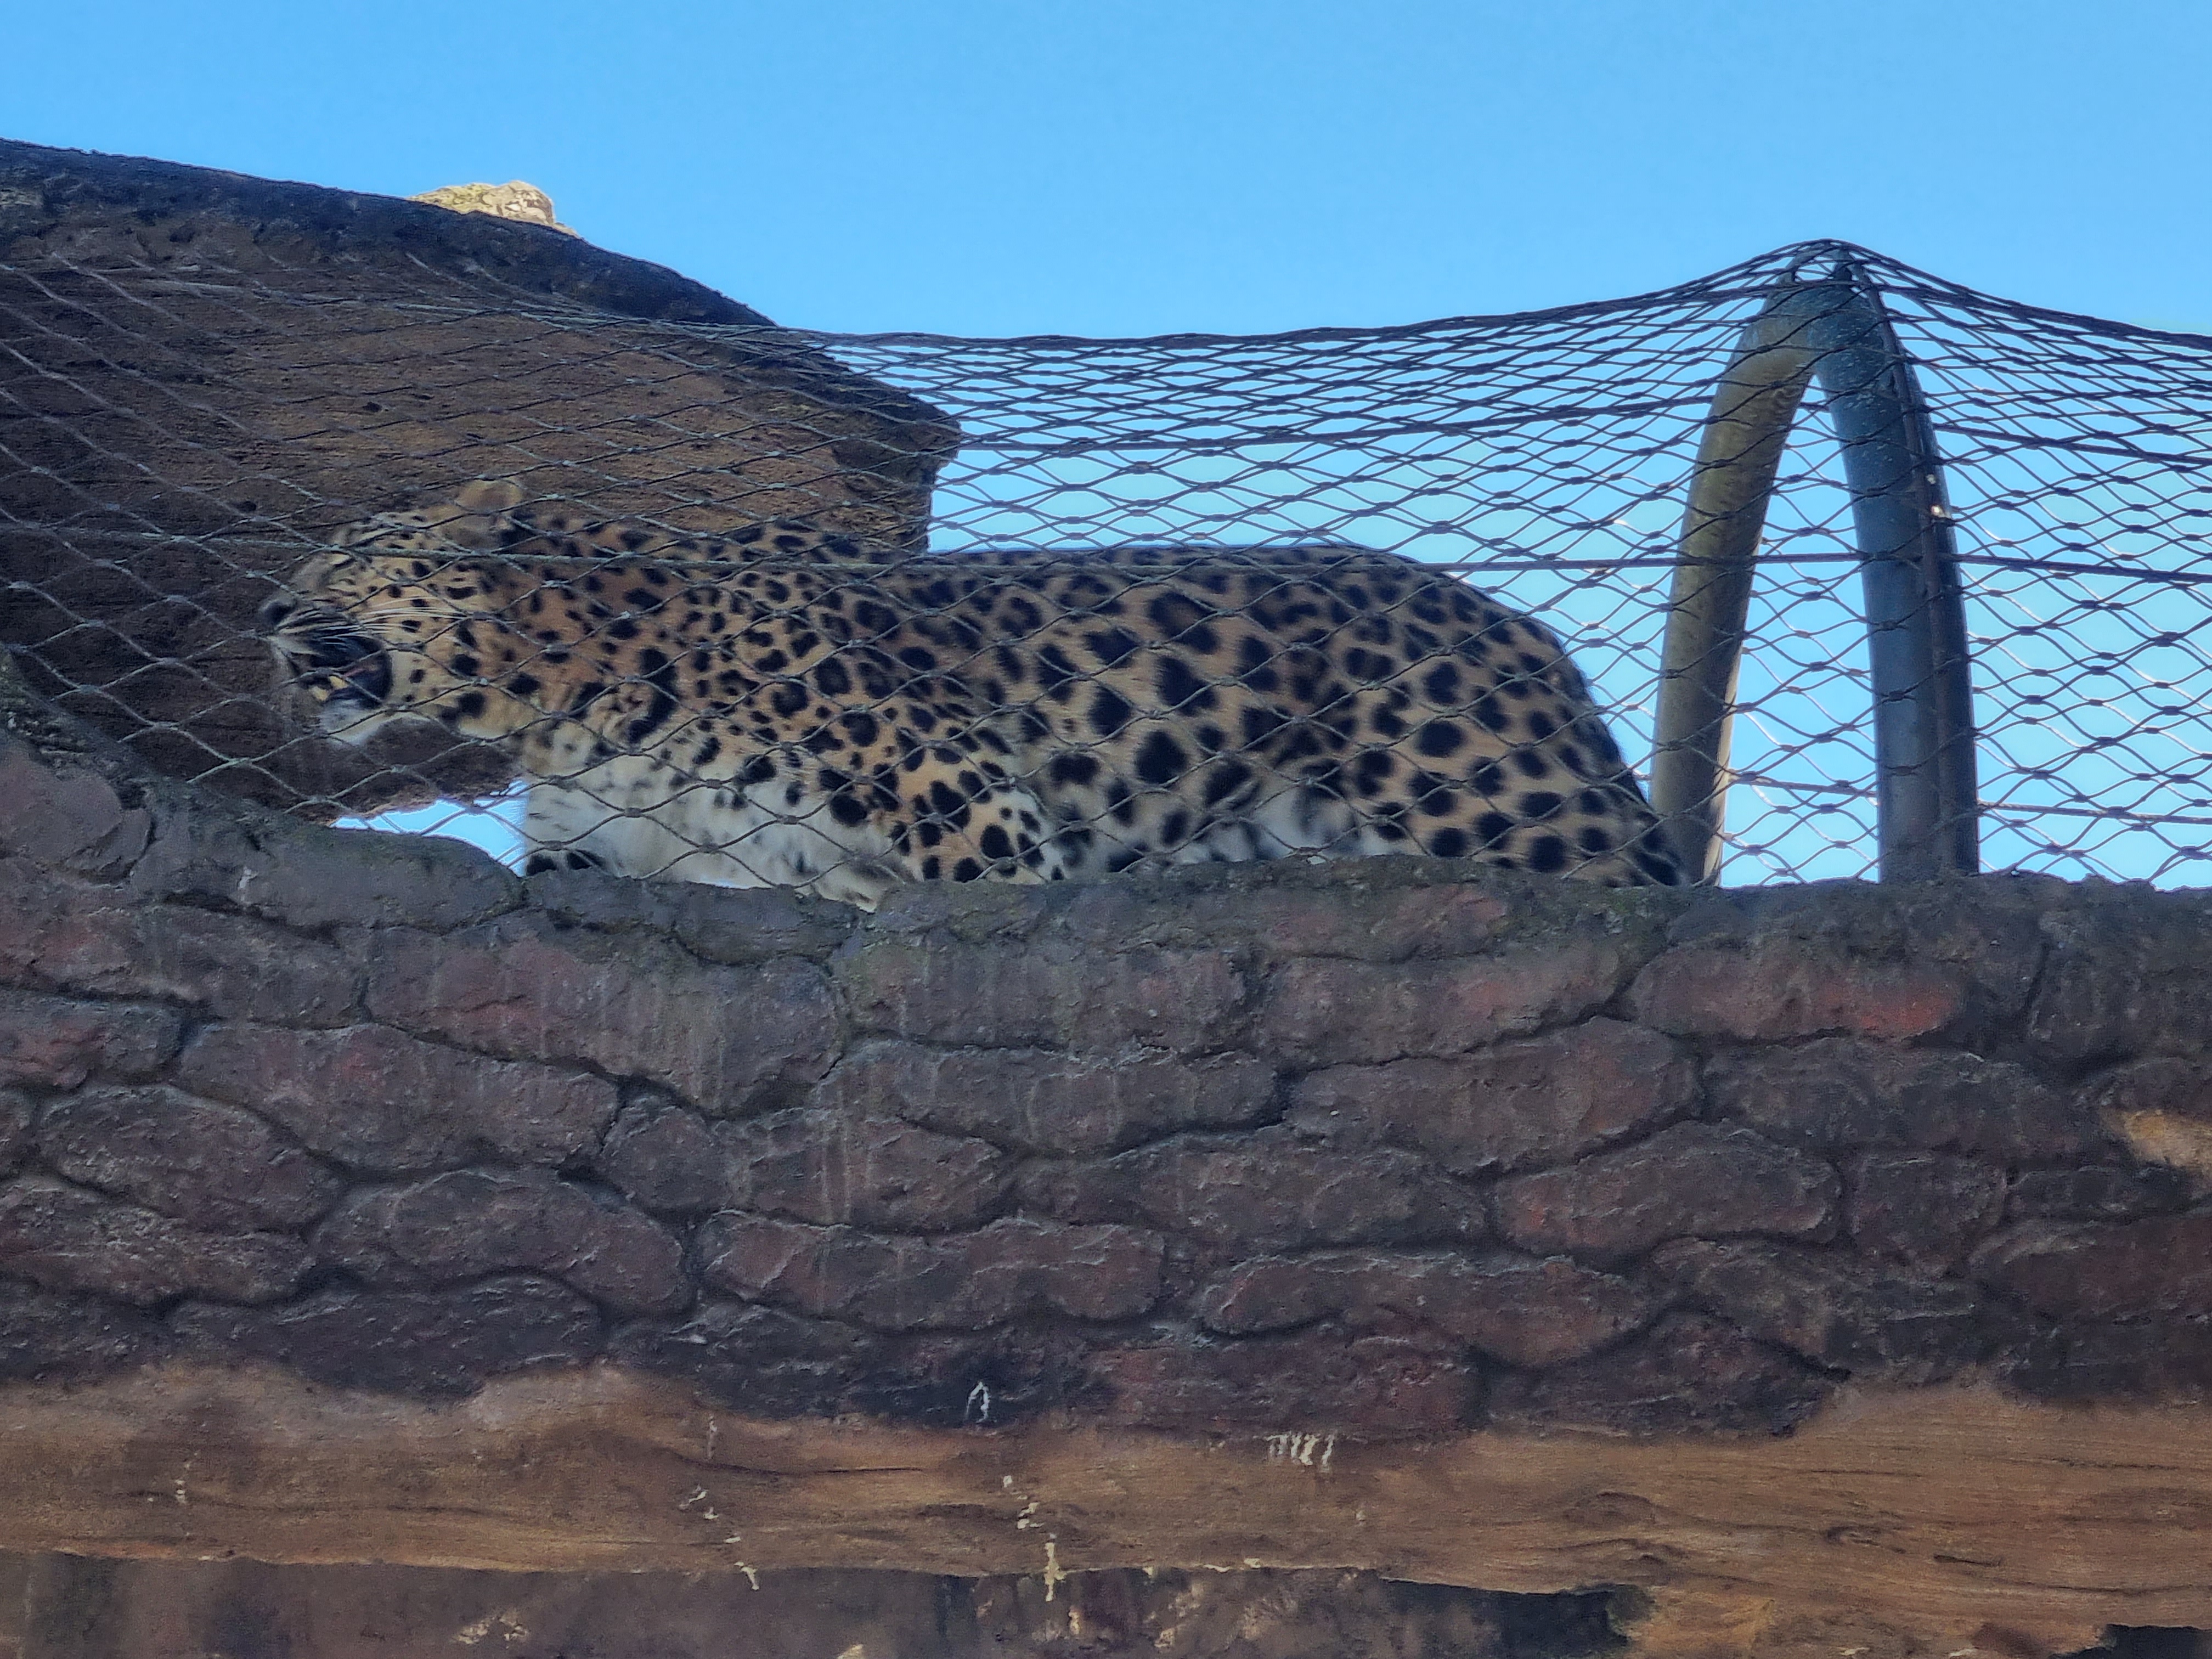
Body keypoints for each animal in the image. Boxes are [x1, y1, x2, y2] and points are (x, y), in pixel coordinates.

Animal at [263, 479, 1672, 911]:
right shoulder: (602, 855)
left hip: (1478, 793)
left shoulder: (960, 797)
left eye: (341, 559)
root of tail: (1526, 628)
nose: (267, 613)